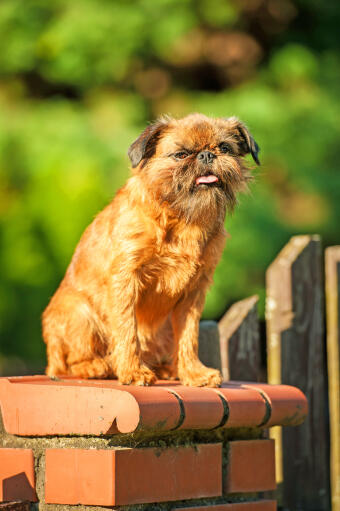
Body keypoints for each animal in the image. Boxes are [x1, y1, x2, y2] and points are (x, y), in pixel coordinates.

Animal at [42, 114, 260, 386]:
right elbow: (127, 329)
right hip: (78, 312)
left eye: (224, 148)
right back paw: (97, 366)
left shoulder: (194, 292)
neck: (182, 218)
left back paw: (168, 369)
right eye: (181, 154)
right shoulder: (125, 279)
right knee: (68, 364)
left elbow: (189, 336)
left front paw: (194, 373)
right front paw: (133, 371)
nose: (207, 155)